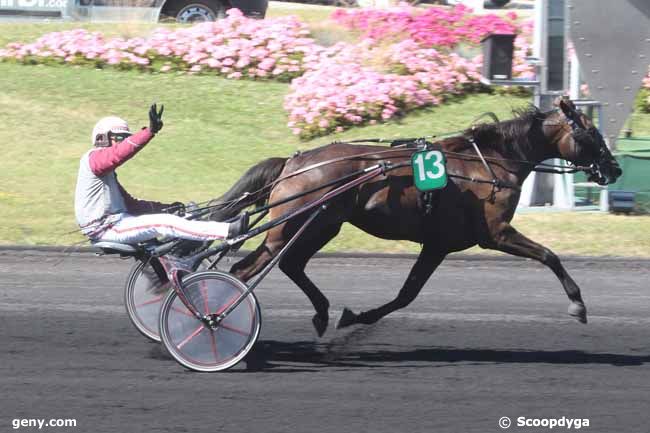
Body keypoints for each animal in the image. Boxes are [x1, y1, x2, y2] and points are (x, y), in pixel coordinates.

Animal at [210, 99, 620, 336]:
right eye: (591, 133)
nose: (614, 169)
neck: (491, 162)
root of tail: (293, 163)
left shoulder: (438, 245)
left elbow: (407, 294)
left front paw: (356, 317)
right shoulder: (496, 233)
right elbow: (549, 255)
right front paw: (578, 304)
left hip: (322, 225)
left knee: (290, 264)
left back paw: (322, 314)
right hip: (289, 227)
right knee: (245, 269)